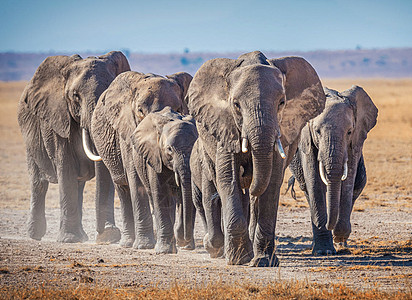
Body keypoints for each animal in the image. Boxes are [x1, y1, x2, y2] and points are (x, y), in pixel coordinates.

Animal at [17, 51, 130, 244]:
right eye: (75, 95)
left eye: (108, 95)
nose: (103, 233)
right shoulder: (58, 118)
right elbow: (66, 167)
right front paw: (69, 239)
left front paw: (110, 236)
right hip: (30, 138)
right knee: (39, 182)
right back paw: (35, 235)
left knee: (78, 185)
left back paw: (81, 236)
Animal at [90, 71, 193, 253]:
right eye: (140, 110)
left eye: (178, 109)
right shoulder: (127, 130)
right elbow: (135, 180)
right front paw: (144, 246)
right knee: (123, 188)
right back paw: (128, 243)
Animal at [187, 51, 326, 268]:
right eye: (236, 105)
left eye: (282, 103)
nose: (247, 173)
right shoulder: (225, 125)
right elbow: (228, 178)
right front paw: (238, 260)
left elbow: (272, 182)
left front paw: (263, 261)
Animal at [288, 85, 378, 254]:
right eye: (317, 131)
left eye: (349, 132)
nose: (331, 226)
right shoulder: (306, 139)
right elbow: (314, 182)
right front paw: (323, 251)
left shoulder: (356, 139)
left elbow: (348, 180)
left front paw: (339, 237)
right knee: (308, 190)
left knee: (357, 185)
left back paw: (342, 244)